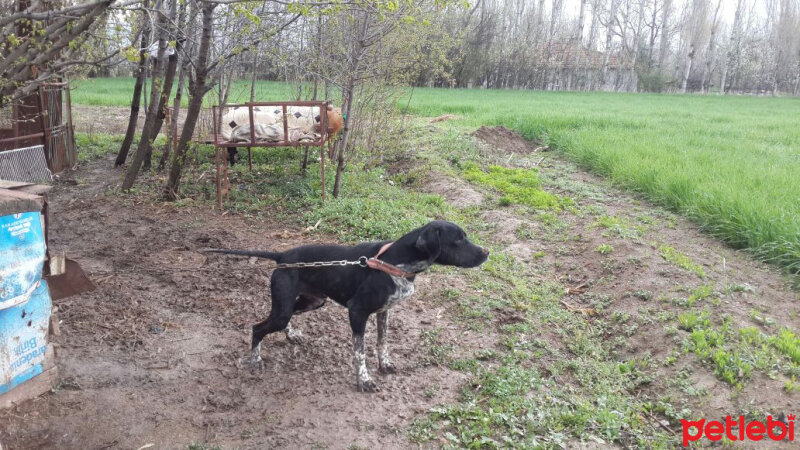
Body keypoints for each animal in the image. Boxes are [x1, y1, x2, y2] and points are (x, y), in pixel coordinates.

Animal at [202, 220, 488, 392]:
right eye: (458, 240)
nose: (487, 253)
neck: (395, 261)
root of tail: (282, 256)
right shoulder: (357, 312)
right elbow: (359, 352)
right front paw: (364, 380)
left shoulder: (384, 311)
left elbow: (382, 342)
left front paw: (384, 364)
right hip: (284, 309)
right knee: (257, 328)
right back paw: (256, 360)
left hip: (313, 302)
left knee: (282, 320)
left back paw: (291, 335)